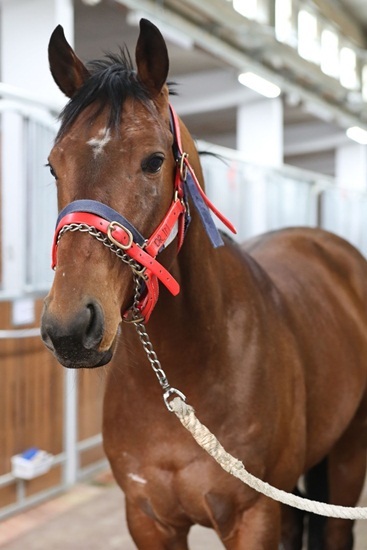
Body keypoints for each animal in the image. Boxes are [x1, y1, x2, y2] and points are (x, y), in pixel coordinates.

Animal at [40, 17, 367, 550]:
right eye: (53, 165)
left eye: (154, 161)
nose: (69, 328)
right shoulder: (149, 520)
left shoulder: (252, 517)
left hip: (347, 455)